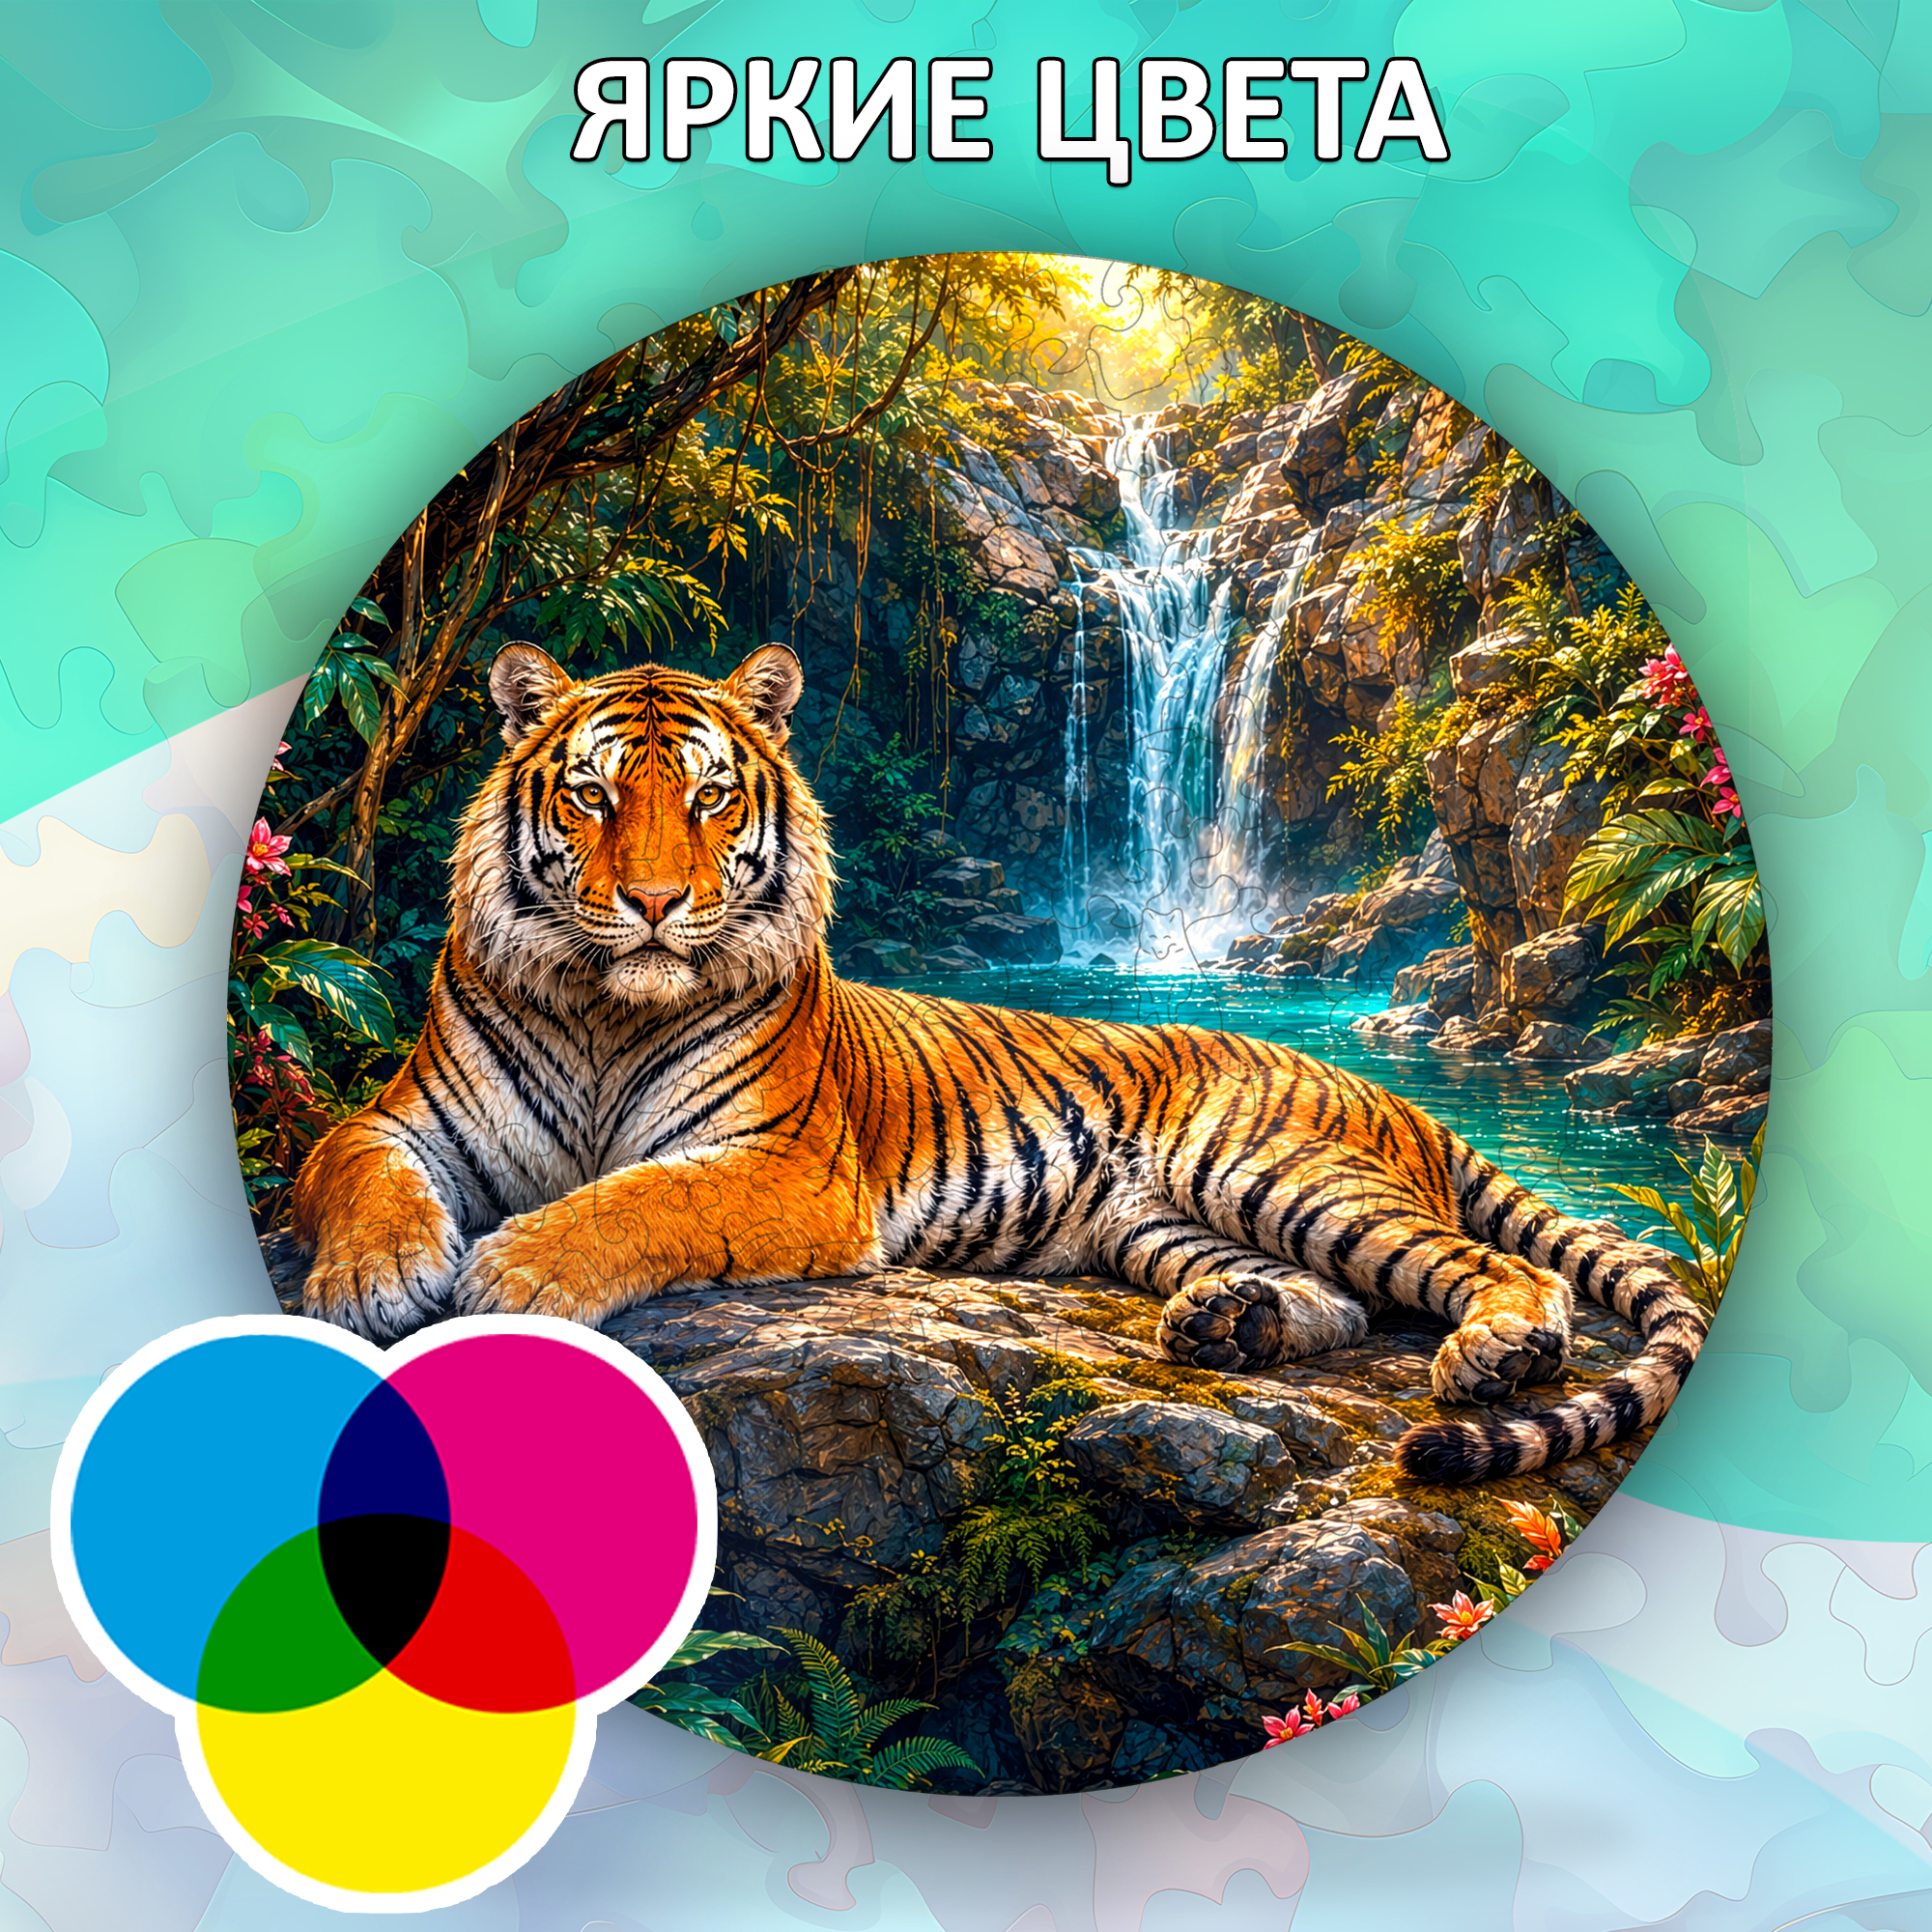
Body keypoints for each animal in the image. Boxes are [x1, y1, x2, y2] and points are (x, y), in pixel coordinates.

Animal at [288, 640, 1710, 1485]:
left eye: (707, 796)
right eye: (589, 794)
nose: (647, 902)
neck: (604, 1008)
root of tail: (1389, 1090)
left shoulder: (783, 1166)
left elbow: (637, 1198)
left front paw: (515, 1270)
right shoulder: (410, 1117)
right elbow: (350, 1160)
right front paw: (374, 1276)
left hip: (1268, 1165)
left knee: (1507, 1273)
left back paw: (1490, 1356)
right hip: (1158, 1221)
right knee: (1342, 1300)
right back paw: (1230, 1323)